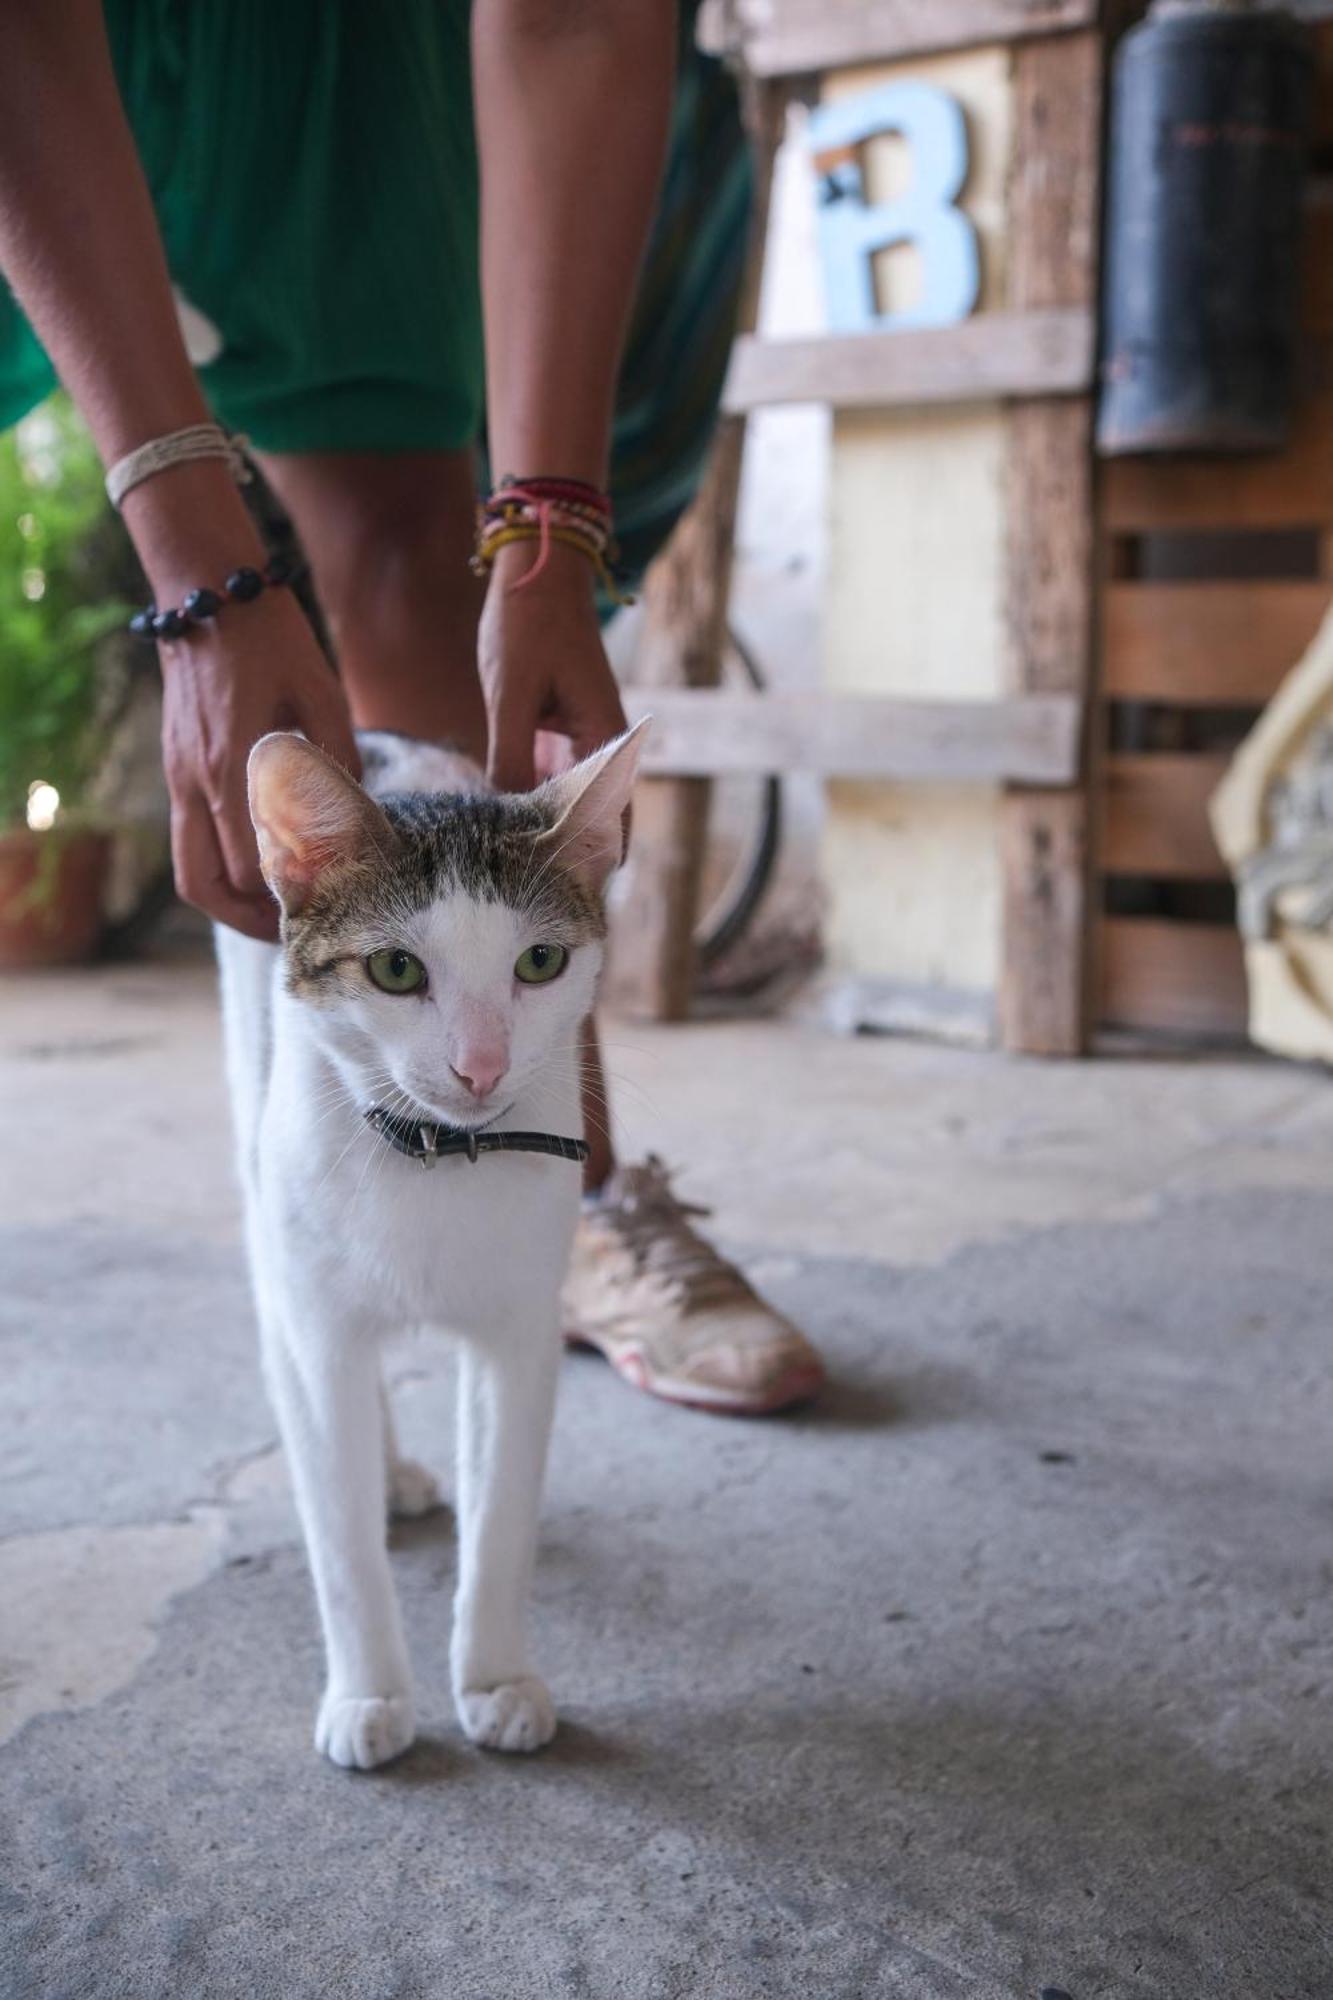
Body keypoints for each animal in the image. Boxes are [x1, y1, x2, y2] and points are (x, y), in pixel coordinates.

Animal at [215, 720, 640, 1768]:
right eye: (397, 971)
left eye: (539, 962)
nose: (480, 1065)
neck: (435, 1154)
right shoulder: (318, 1333)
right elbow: (339, 1539)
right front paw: (369, 1692)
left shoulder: (520, 1337)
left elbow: (500, 1518)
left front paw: (494, 1680)